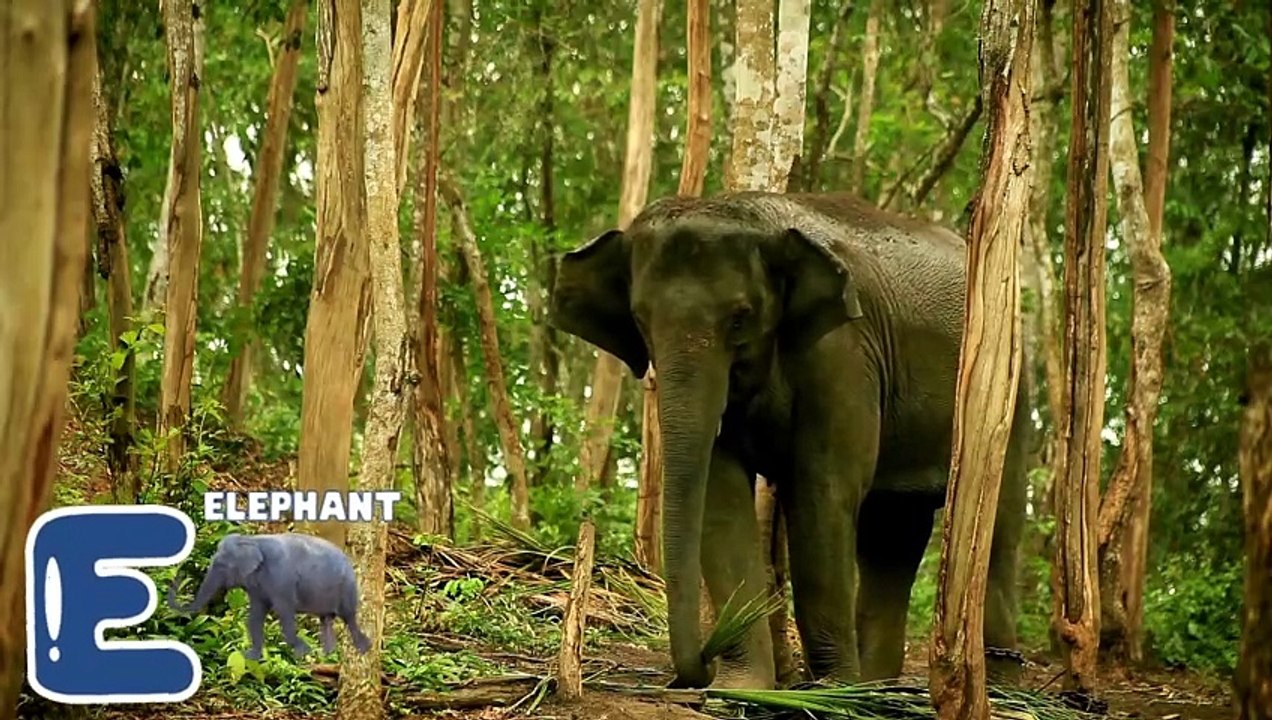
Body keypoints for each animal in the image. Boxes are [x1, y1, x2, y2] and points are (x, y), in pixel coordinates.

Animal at [168, 532, 372, 660]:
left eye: (221, 566)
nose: (179, 574)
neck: (251, 540)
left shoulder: (280, 577)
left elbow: (284, 610)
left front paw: (302, 652)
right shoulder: (257, 586)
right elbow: (255, 615)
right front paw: (250, 657)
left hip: (347, 586)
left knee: (348, 617)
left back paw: (364, 648)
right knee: (326, 620)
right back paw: (327, 655)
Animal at [548, 191, 1029, 690]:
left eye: (740, 318)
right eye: (641, 320)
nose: (701, 664)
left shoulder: (844, 353)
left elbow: (823, 492)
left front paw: (831, 691)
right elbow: (721, 499)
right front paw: (744, 687)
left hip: (1011, 396)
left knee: (997, 526)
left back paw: (999, 689)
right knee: (891, 534)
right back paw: (878, 687)